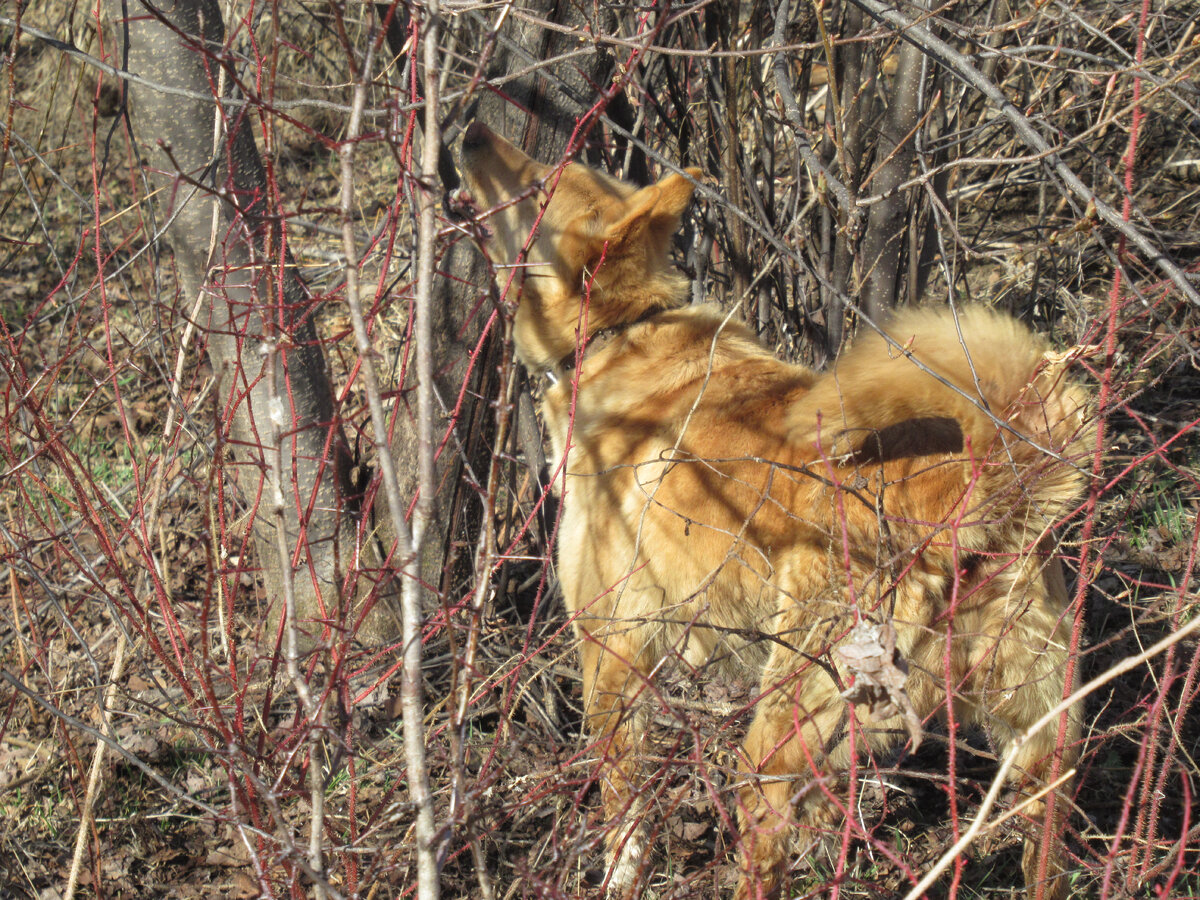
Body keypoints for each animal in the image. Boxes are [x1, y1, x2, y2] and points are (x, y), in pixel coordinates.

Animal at [460, 121, 1099, 900]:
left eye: (538, 183)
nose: (471, 128)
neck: (624, 331)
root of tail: (967, 496)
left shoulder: (614, 652)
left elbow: (623, 815)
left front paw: (617, 876)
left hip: (782, 732)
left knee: (763, 836)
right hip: (1038, 741)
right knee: (1047, 838)